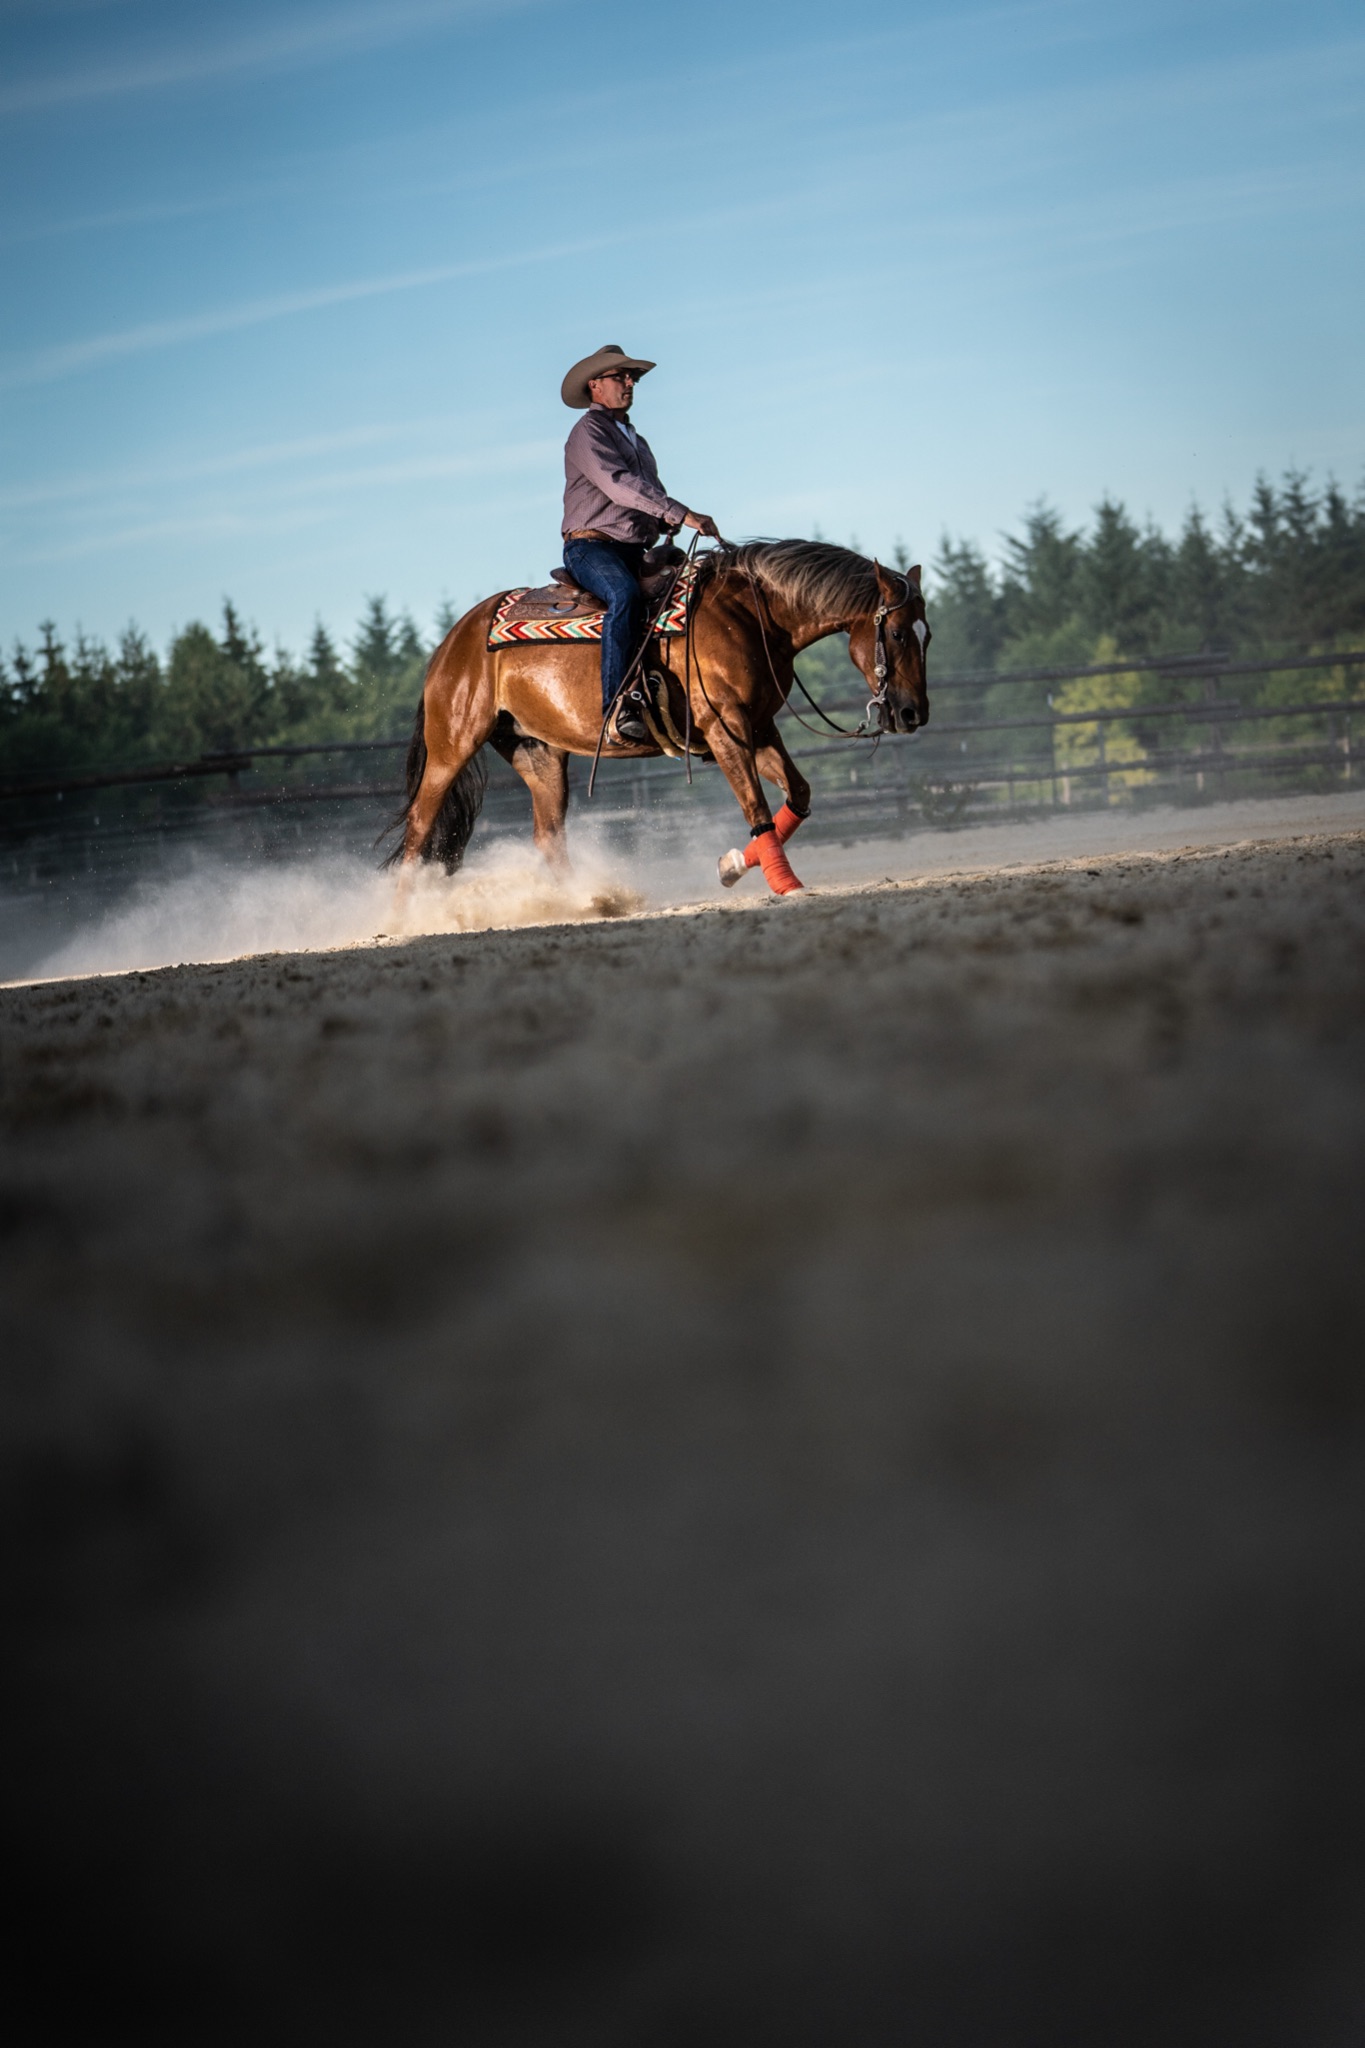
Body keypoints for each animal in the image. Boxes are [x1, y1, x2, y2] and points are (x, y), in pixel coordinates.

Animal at [386, 540, 930, 896]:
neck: (748, 615)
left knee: (548, 835)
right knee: (419, 825)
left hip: (538, 753)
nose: (913, 713)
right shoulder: (726, 729)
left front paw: (732, 865)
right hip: (452, 746)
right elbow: (756, 808)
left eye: (926, 634)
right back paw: (406, 916)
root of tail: (450, 645)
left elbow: (797, 794)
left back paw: (583, 903)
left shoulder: (757, 727)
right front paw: (787, 885)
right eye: (898, 633)